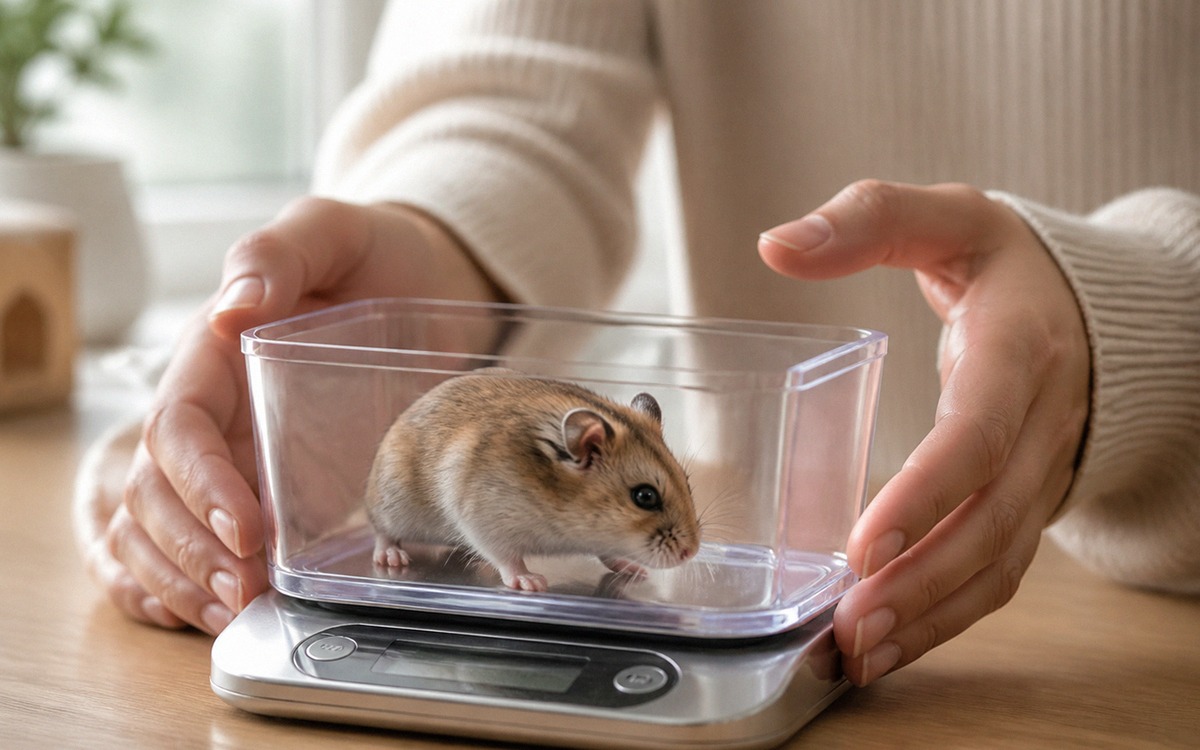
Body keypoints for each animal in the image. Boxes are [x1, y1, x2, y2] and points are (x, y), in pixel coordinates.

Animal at [364, 368, 700, 592]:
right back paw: (393, 558)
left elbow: (607, 552)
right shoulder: (483, 519)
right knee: (381, 531)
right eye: (645, 496)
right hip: (392, 504)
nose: (692, 552)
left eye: (687, 482)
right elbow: (506, 556)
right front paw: (532, 583)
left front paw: (635, 571)